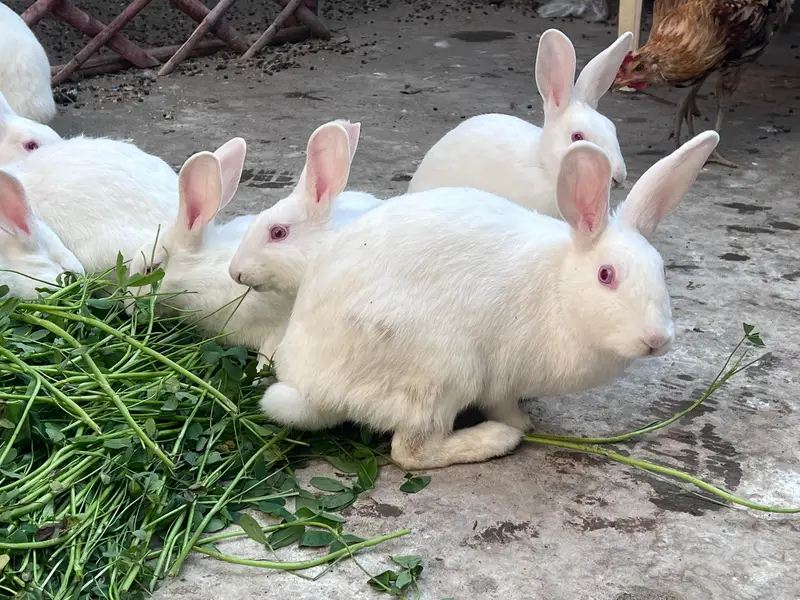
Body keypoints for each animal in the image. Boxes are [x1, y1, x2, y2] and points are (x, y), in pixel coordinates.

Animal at [260, 130, 720, 470]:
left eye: (662, 269)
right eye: (606, 275)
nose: (656, 340)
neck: (559, 288)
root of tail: (312, 386)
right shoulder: (501, 377)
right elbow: (503, 404)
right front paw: (522, 423)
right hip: (442, 372)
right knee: (411, 452)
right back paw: (496, 439)